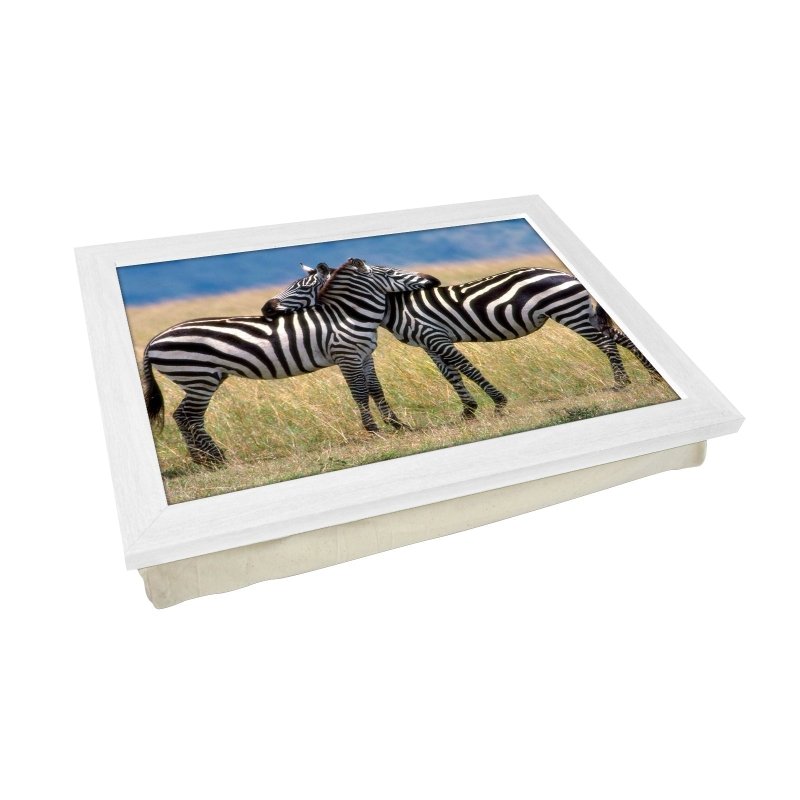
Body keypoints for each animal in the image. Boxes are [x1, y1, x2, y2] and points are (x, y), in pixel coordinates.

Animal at [141, 260, 440, 465]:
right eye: (392, 273)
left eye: (300, 287)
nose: (433, 279)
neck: (348, 314)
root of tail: (153, 339)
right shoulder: (346, 356)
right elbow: (359, 392)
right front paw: (374, 430)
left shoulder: (365, 355)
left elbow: (376, 389)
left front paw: (398, 424)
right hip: (198, 377)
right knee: (188, 416)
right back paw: (216, 459)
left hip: (201, 379)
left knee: (183, 415)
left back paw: (205, 460)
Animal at [262, 261, 661, 418]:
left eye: (299, 286)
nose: (266, 307)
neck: (393, 306)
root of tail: (562, 272)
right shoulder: (429, 341)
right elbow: (449, 373)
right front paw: (469, 410)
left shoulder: (433, 335)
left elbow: (463, 366)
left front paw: (497, 404)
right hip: (580, 311)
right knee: (619, 336)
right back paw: (653, 377)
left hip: (571, 313)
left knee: (606, 342)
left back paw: (621, 383)